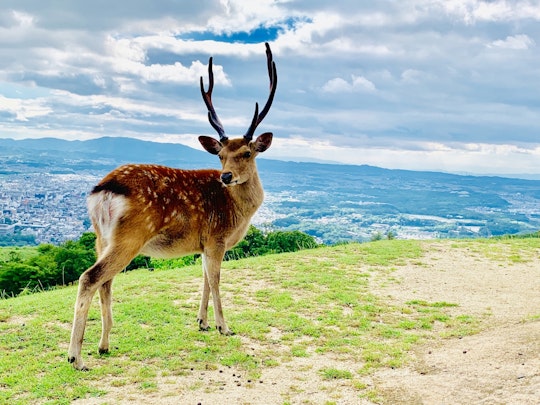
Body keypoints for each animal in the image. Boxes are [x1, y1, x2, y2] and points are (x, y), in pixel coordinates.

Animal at [67, 41, 276, 370]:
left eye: (246, 152)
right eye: (221, 155)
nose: (225, 176)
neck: (237, 214)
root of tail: (103, 190)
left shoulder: (203, 244)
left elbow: (205, 279)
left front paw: (202, 322)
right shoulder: (216, 238)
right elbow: (216, 280)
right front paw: (224, 326)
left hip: (100, 237)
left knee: (105, 282)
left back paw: (104, 345)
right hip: (129, 237)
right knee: (90, 277)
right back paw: (76, 357)